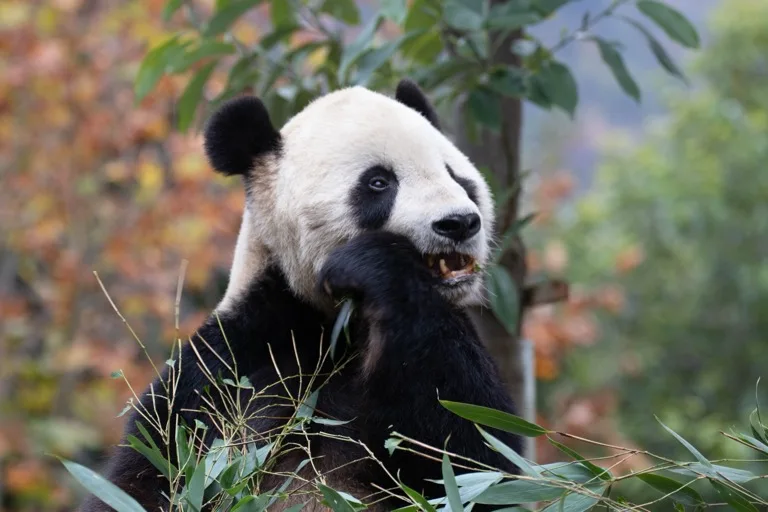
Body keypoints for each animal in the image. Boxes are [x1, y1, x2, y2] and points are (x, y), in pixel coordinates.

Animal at [81, 79, 522, 511]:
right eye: (379, 182)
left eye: (457, 177)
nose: (458, 222)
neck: (333, 324)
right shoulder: (227, 366)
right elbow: (148, 475)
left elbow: (474, 457)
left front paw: (375, 266)